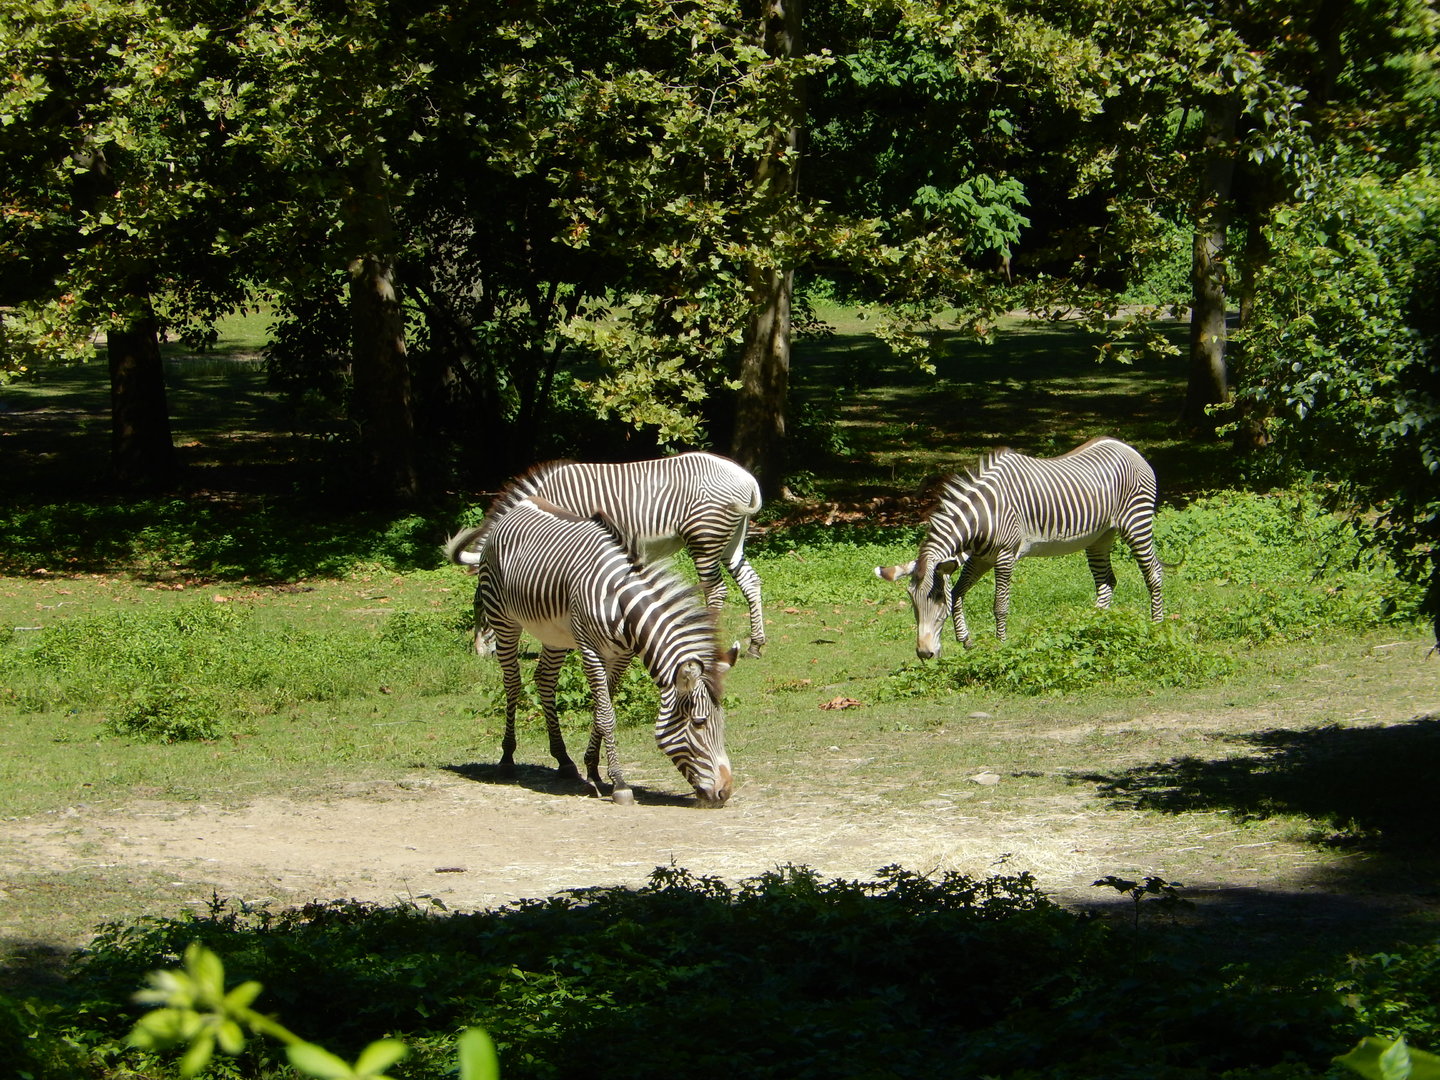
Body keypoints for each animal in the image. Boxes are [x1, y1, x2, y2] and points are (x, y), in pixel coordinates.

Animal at [446, 475, 736, 805]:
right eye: (699, 723)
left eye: (723, 722)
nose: (725, 792)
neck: (623, 605)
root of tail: (518, 507)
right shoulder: (590, 650)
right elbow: (607, 714)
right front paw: (620, 783)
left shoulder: (621, 656)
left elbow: (601, 708)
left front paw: (594, 773)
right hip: (503, 618)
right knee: (513, 682)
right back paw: (507, 760)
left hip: (555, 634)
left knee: (545, 681)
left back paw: (564, 762)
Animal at [458, 452, 766, 658]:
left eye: (480, 606)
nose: (480, 654)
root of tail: (747, 478)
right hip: (731, 539)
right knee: (750, 581)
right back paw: (755, 645)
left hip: (704, 535)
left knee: (716, 590)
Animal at [875, 437, 1164, 659]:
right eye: (912, 600)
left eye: (936, 599)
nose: (924, 654)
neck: (982, 516)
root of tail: (1126, 446)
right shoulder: (980, 557)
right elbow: (957, 592)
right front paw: (966, 640)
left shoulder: (1004, 556)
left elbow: (999, 605)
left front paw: (1001, 644)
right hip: (1099, 537)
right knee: (1106, 581)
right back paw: (1093, 627)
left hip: (1136, 522)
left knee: (1154, 573)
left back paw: (1156, 625)